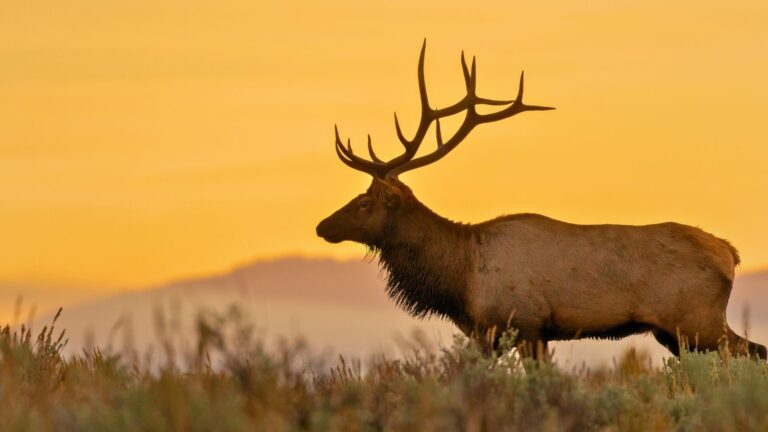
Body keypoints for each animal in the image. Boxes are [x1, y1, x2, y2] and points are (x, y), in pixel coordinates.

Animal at [316, 42, 764, 362]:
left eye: (364, 202)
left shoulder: (525, 323)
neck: (460, 278)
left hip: (698, 321)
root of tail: (731, 253)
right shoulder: (491, 334)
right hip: (674, 332)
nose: (321, 226)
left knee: (752, 353)